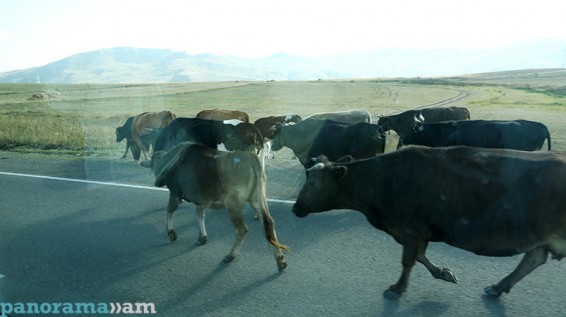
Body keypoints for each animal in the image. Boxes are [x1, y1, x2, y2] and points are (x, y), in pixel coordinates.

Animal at [138, 142, 288, 270]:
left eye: (153, 166)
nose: (156, 183)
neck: (172, 160)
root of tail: (252, 159)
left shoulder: (175, 193)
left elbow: (169, 211)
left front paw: (171, 233)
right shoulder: (200, 200)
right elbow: (199, 215)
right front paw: (202, 237)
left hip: (233, 204)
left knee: (242, 229)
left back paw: (231, 255)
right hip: (257, 199)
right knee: (269, 223)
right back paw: (280, 259)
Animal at [292, 146, 566, 298]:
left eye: (312, 183)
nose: (296, 208)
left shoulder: (411, 229)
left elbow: (409, 260)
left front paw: (397, 289)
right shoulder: (418, 231)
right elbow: (421, 257)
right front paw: (443, 273)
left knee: (532, 259)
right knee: (533, 259)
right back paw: (497, 288)